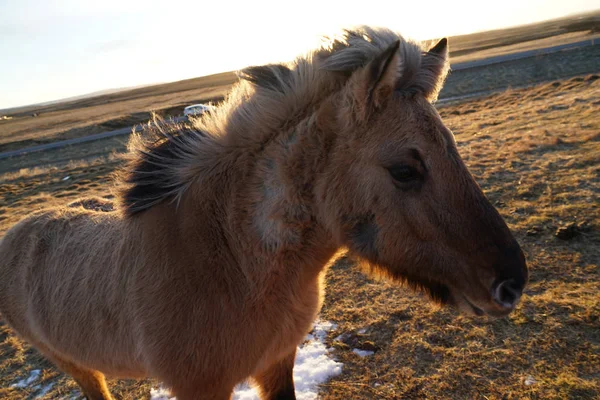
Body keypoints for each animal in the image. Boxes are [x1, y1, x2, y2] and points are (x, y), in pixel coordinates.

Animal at [0, 26, 524, 398]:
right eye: (405, 170)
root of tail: (17, 232)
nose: (511, 283)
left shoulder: (277, 362)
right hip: (76, 367)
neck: (234, 262)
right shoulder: (200, 389)